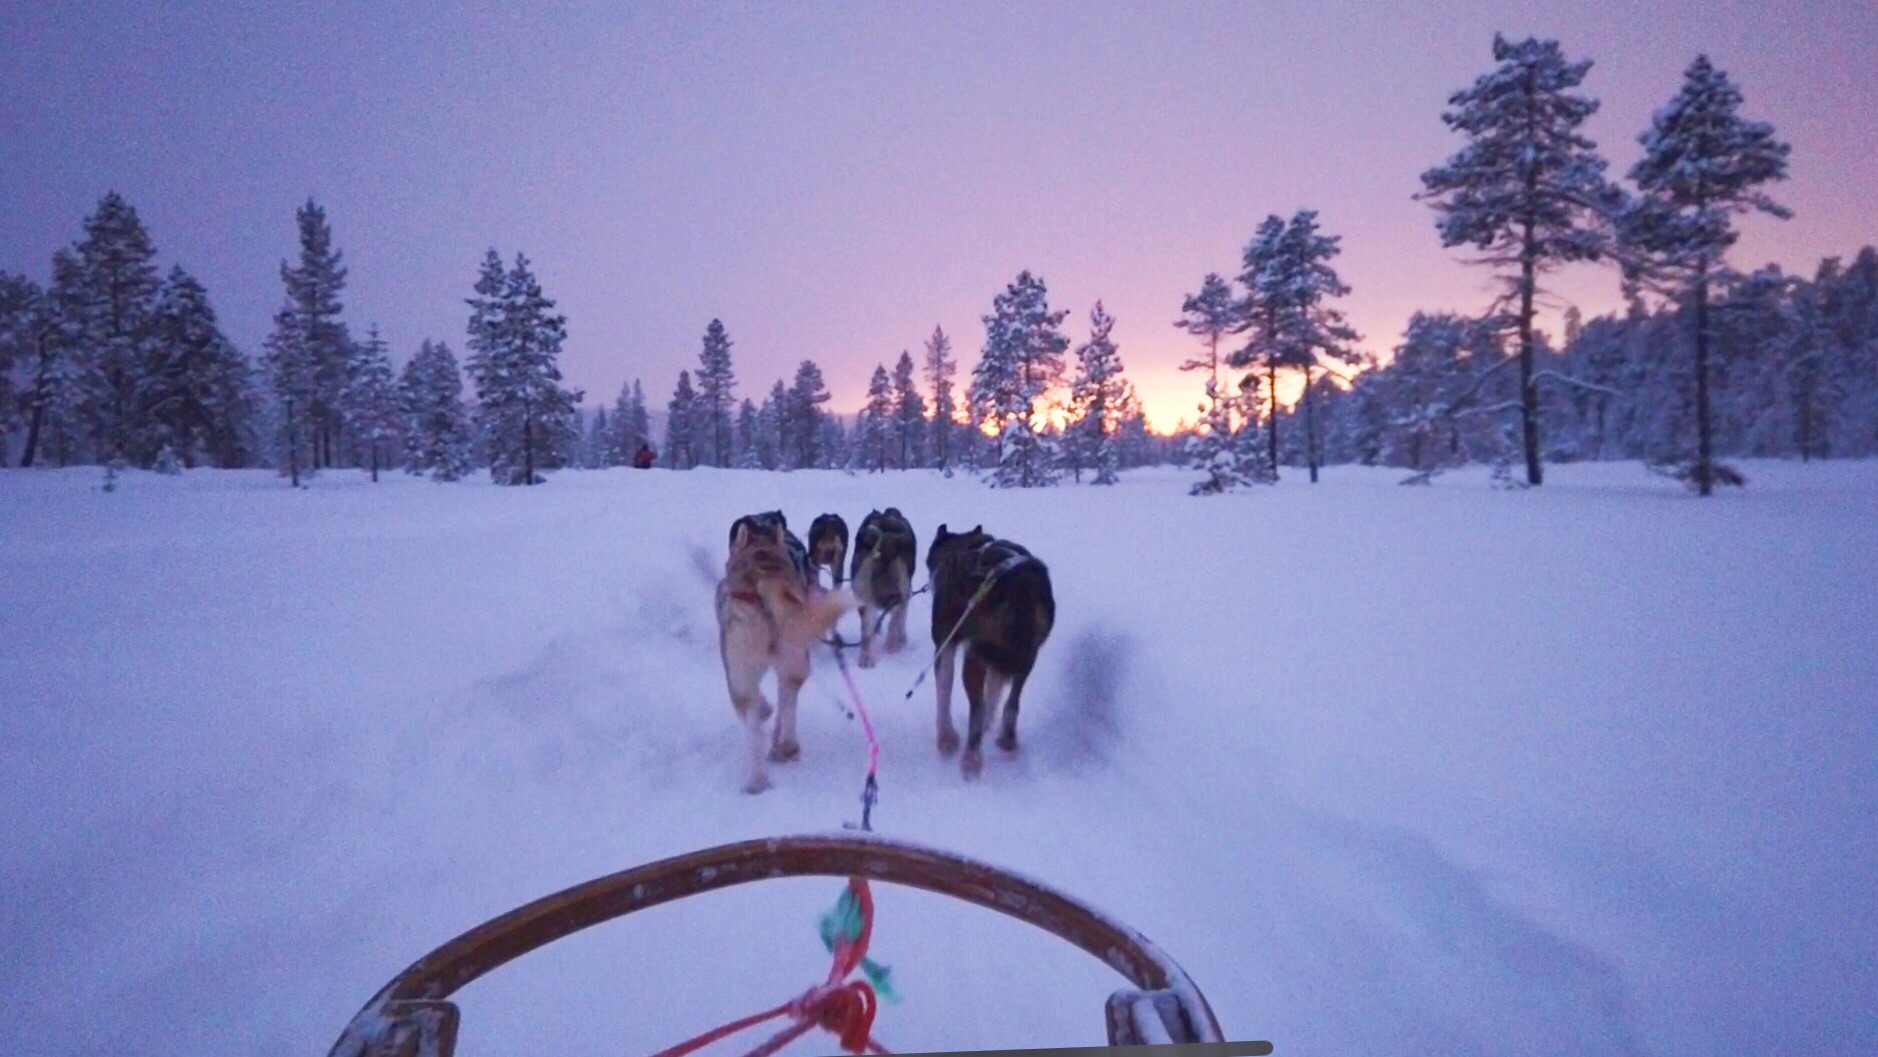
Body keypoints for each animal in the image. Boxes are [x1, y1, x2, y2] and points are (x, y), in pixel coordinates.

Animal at [717, 514, 852, 796]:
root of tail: (765, 584)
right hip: (795, 659)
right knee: (787, 698)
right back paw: (780, 754)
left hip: (740, 674)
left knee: (757, 715)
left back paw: (764, 769)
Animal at [852, 506, 916, 664]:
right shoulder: (904, 595)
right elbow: (899, 620)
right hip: (900, 591)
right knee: (894, 622)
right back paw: (892, 646)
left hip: (864, 594)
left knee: (867, 631)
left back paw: (866, 660)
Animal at [927, 525, 1059, 781]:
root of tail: (1020, 589)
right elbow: (995, 692)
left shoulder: (945, 643)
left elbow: (944, 691)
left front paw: (946, 737)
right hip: (1024, 659)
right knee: (1012, 702)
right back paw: (1007, 739)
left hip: (975, 660)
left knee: (977, 712)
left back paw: (971, 761)